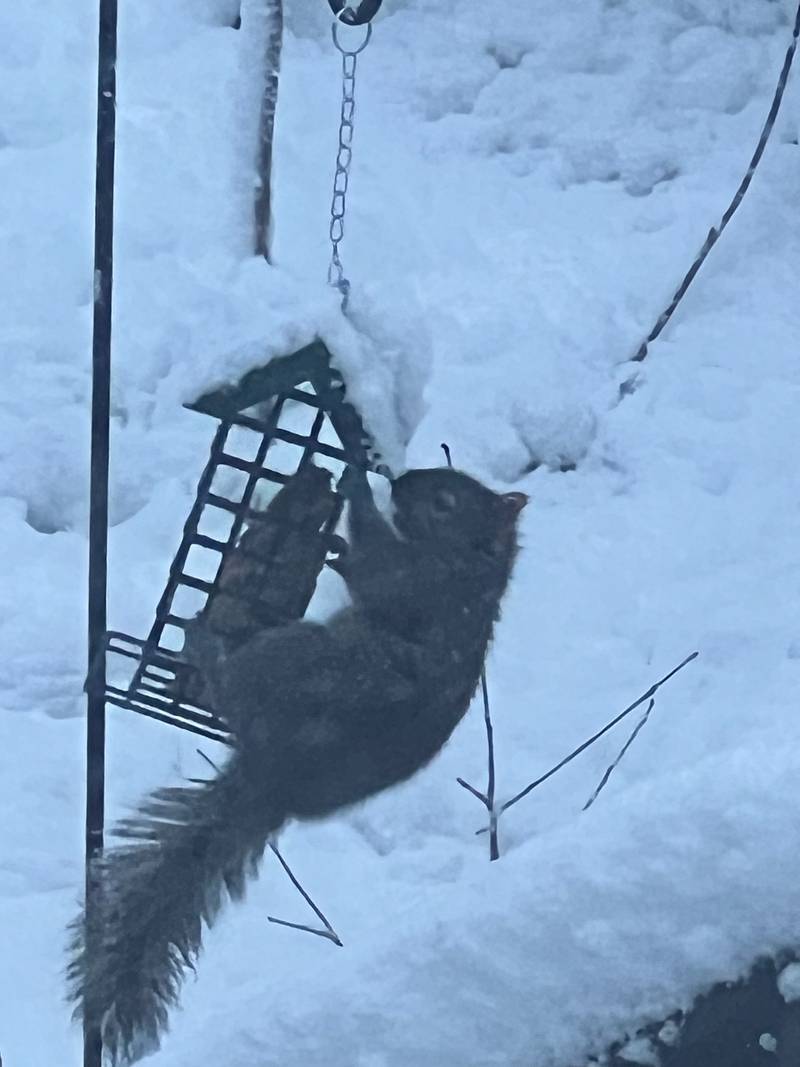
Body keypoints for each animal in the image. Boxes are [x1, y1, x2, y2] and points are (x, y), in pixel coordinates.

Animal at [68, 463, 529, 1062]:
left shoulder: (423, 584)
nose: (401, 479)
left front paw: (357, 486)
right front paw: (343, 521)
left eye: (445, 501)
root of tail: (273, 781)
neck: (475, 569)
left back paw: (204, 648)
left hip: (293, 660)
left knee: (233, 689)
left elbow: (378, 570)